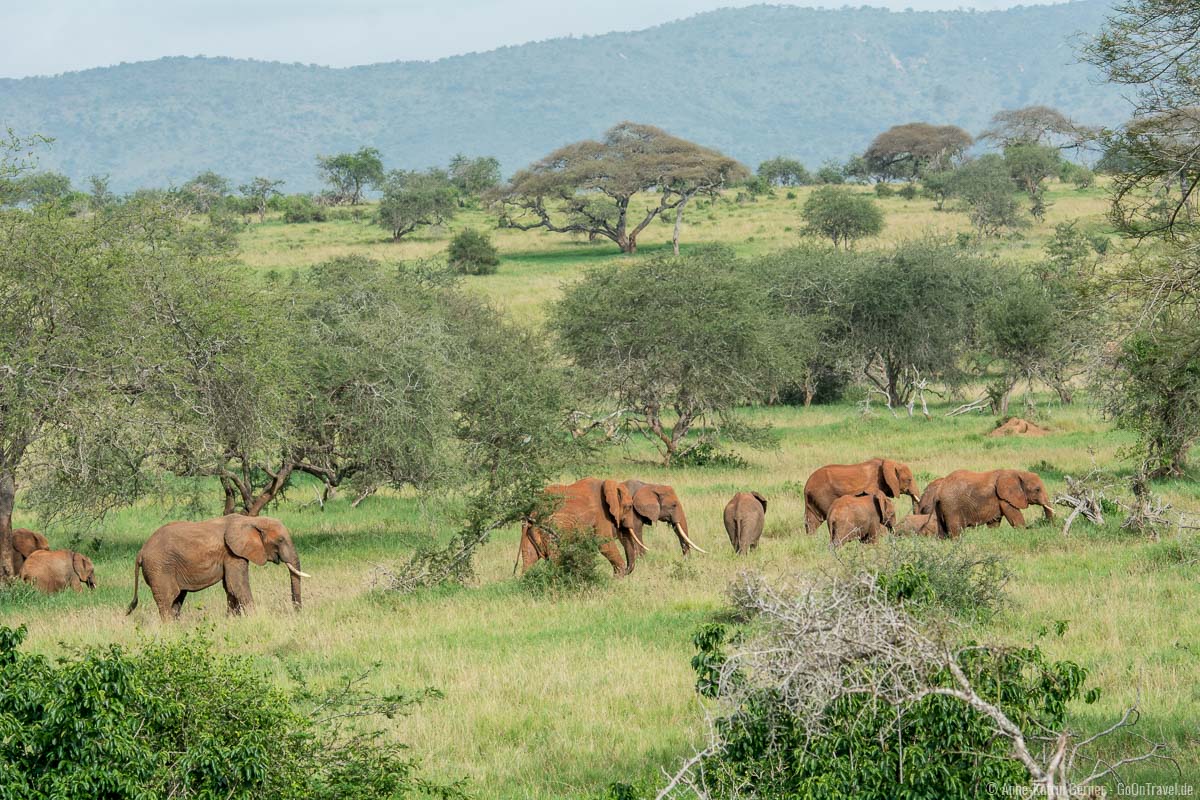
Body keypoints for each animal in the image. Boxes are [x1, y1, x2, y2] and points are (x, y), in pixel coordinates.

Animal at [126, 515, 309, 623]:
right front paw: (255, 619)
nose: (297, 613)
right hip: (159, 568)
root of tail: (140, 552)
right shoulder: (232, 553)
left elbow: (230, 587)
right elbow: (237, 585)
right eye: (280, 540)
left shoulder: (233, 553)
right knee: (166, 599)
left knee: (176, 600)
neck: (251, 520)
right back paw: (169, 628)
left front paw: (231, 621)